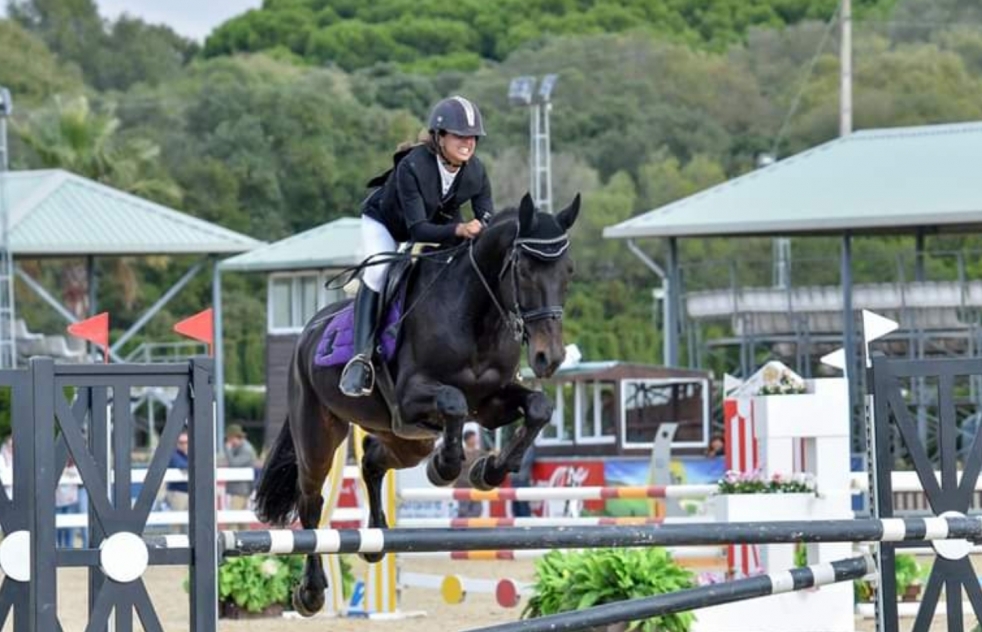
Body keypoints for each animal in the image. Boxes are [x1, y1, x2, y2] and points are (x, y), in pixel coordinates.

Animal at [254, 191, 580, 612]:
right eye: (523, 271)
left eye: (568, 272)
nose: (548, 358)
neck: (477, 317)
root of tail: (306, 334)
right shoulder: (412, 397)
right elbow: (454, 402)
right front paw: (445, 467)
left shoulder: (491, 404)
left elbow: (539, 408)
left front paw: (488, 471)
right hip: (319, 435)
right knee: (311, 500)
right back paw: (311, 591)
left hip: (406, 439)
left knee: (372, 460)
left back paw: (375, 538)